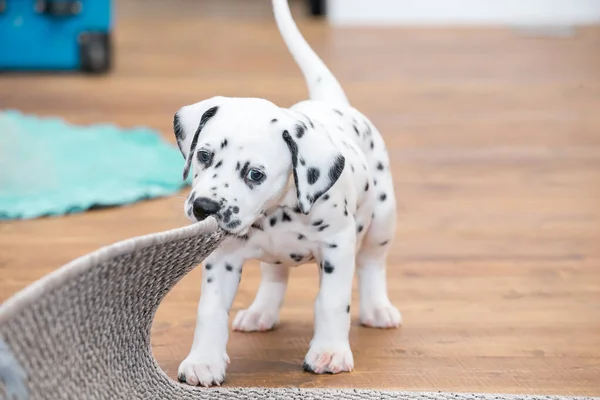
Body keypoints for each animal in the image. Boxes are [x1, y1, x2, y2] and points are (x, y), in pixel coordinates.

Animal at [171, 0, 400, 388]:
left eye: (255, 174)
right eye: (203, 155)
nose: (204, 207)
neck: (276, 213)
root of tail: (333, 103)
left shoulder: (337, 249)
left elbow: (332, 303)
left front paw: (329, 352)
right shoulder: (223, 258)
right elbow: (210, 310)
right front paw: (203, 361)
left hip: (382, 219)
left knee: (372, 264)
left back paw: (377, 308)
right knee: (274, 275)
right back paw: (261, 312)